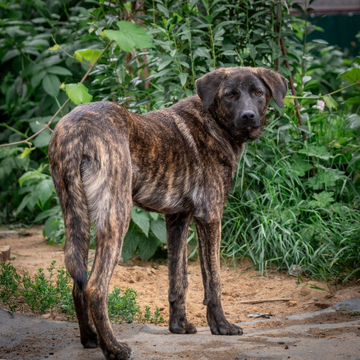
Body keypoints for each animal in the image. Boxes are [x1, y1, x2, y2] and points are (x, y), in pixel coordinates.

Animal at [48, 67, 286, 360]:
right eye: (230, 95)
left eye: (258, 92)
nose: (248, 116)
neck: (213, 122)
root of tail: (77, 128)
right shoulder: (210, 216)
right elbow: (213, 279)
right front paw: (221, 326)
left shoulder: (176, 219)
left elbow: (178, 278)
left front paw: (178, 326)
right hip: (117, 215)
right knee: (95, 286)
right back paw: (114, 348)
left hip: (75, 214)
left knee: (78, 281)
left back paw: (91, 339)